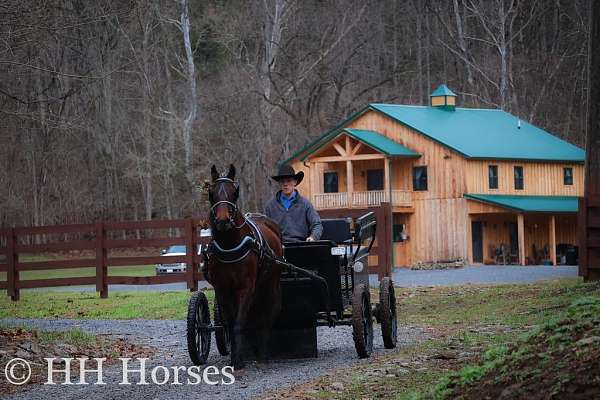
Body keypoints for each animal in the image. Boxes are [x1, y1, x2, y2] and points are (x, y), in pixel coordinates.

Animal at [204, 165, 284, 368]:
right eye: (211, 193)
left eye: (235, 193)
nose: (223, 221)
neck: (230, 246)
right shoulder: (222, 289)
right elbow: (230, 323)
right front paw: (235, 356)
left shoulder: (245, 287)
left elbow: (239, 322)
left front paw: (239, 360)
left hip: (271, 283)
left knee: (268, 312)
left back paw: (262, 353)